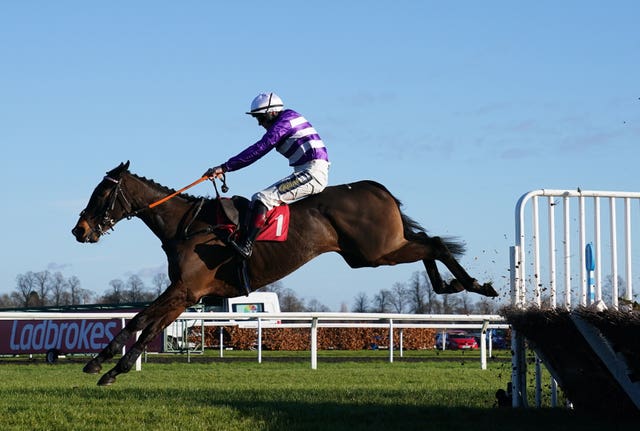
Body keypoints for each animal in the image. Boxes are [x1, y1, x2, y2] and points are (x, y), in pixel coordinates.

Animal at [72, 161, 498, 384]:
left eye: (102, 193)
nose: (80, 229)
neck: (187, 226)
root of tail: (377, 188)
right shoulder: (184, 293)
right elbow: (140, 321)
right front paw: (99, 362)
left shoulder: (186, 291)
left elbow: (146, 324)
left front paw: (114, 368)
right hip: (373, 252)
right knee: (429, 241)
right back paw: (453, 284)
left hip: (376, 251)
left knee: (436, 242)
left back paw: (475, 284)